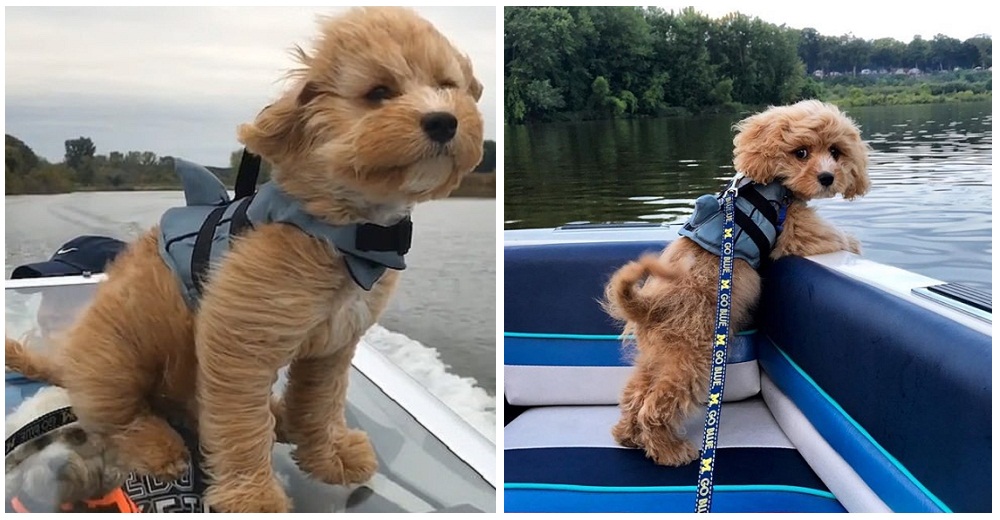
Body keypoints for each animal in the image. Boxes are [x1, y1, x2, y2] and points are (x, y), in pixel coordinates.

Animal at [4, 7, 484, 512]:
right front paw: (255, 497)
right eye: (378, 93)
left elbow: (321, 405)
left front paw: (328, 455)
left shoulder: (332, 347)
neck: (338, 229)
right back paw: (159, 445)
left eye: (446, 84)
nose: (444, 121)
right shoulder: (239, 350)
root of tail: (67, 364)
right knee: (119, 417)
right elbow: (240, 428)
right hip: (119, 355)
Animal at [600, 99, 868, 466]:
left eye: (836, 151)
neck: (771, 183)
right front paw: (856, 245)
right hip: (694, 357)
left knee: (635, 393)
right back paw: (669, 450)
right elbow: (835, 236)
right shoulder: (797, 230)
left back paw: (627, 435)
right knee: (654, 405)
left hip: (659, 355)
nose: (827, 177)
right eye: (801, 152)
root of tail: (651, 304)